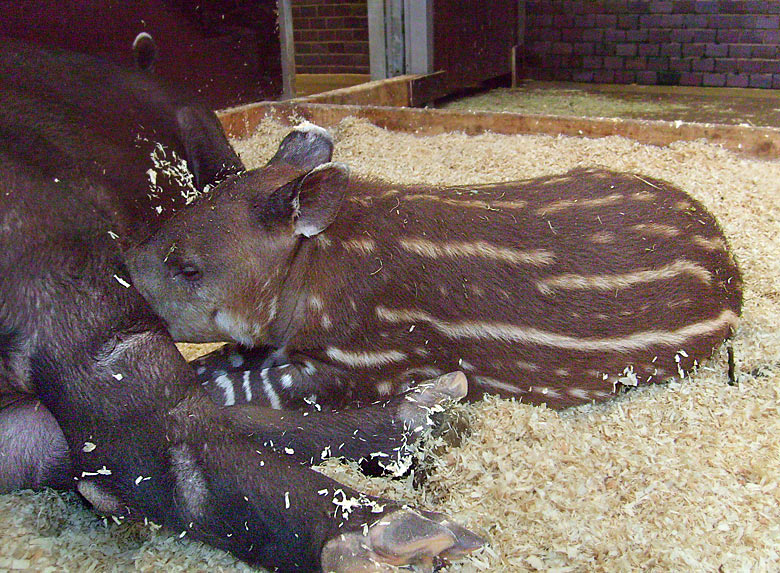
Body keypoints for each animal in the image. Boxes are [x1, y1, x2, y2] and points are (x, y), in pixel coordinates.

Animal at [125, 127, 740, 408]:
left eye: (188, 269)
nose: (122, 271)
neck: (320, 260)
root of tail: (731, 263)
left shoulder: (373, 359)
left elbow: (248, 389)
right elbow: (224, 361)